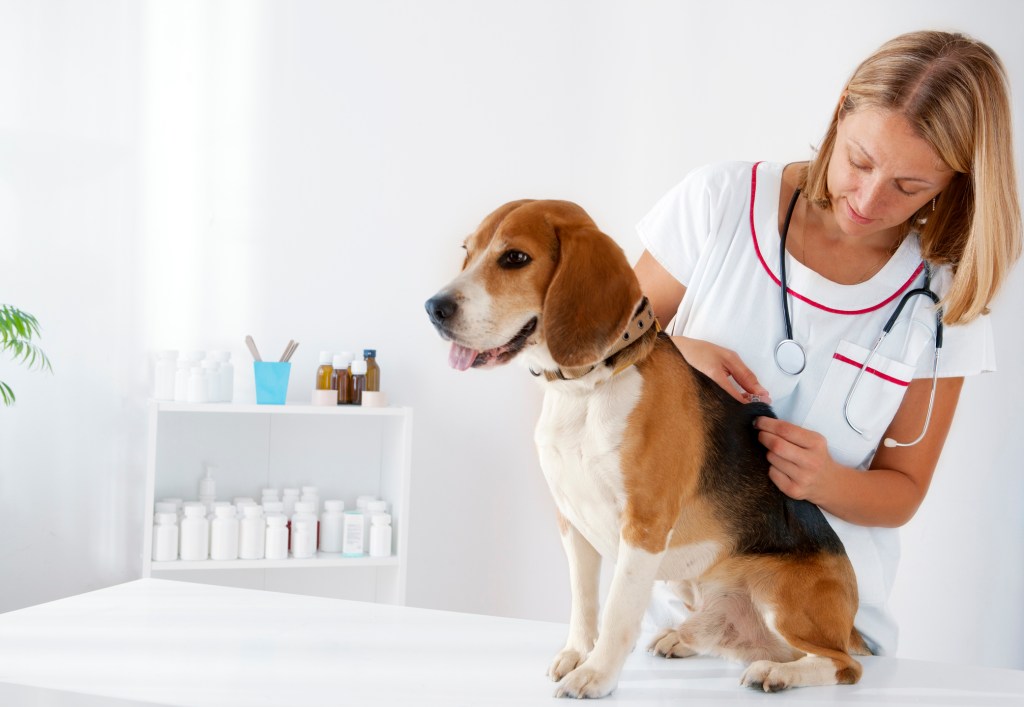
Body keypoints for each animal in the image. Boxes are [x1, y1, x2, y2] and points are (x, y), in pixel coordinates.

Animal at [425, 198, 872, 692]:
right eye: (467, 251)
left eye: (515, 258)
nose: (433, 307)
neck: (587, 390)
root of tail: (849, 618)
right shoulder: (572, 520)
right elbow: (584, 602)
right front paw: (576, 653)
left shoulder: (644, 525)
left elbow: (619, 610)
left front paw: (595, 675)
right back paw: (686, 638)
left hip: (782, 597)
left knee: (842, 665)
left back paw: (777, 673)